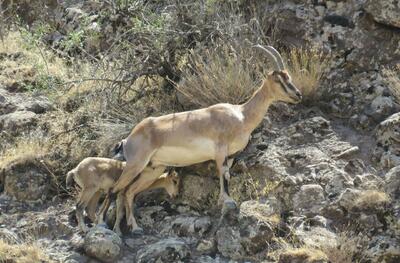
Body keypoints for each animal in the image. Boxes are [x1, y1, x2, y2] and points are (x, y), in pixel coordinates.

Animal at [111, 44, 302, 233]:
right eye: (278, 79)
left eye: (289, 76)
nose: (298, 95)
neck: (241, 114)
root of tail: (127, 140)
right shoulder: (220, 152)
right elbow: (225, 175)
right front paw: (229, 202)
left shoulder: (230, 155)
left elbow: (225, 176)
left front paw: (223, 202)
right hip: (135, 166)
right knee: (116, 191)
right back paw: (117, 230)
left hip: (153, 169)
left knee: (128, 192)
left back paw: (135, 227)